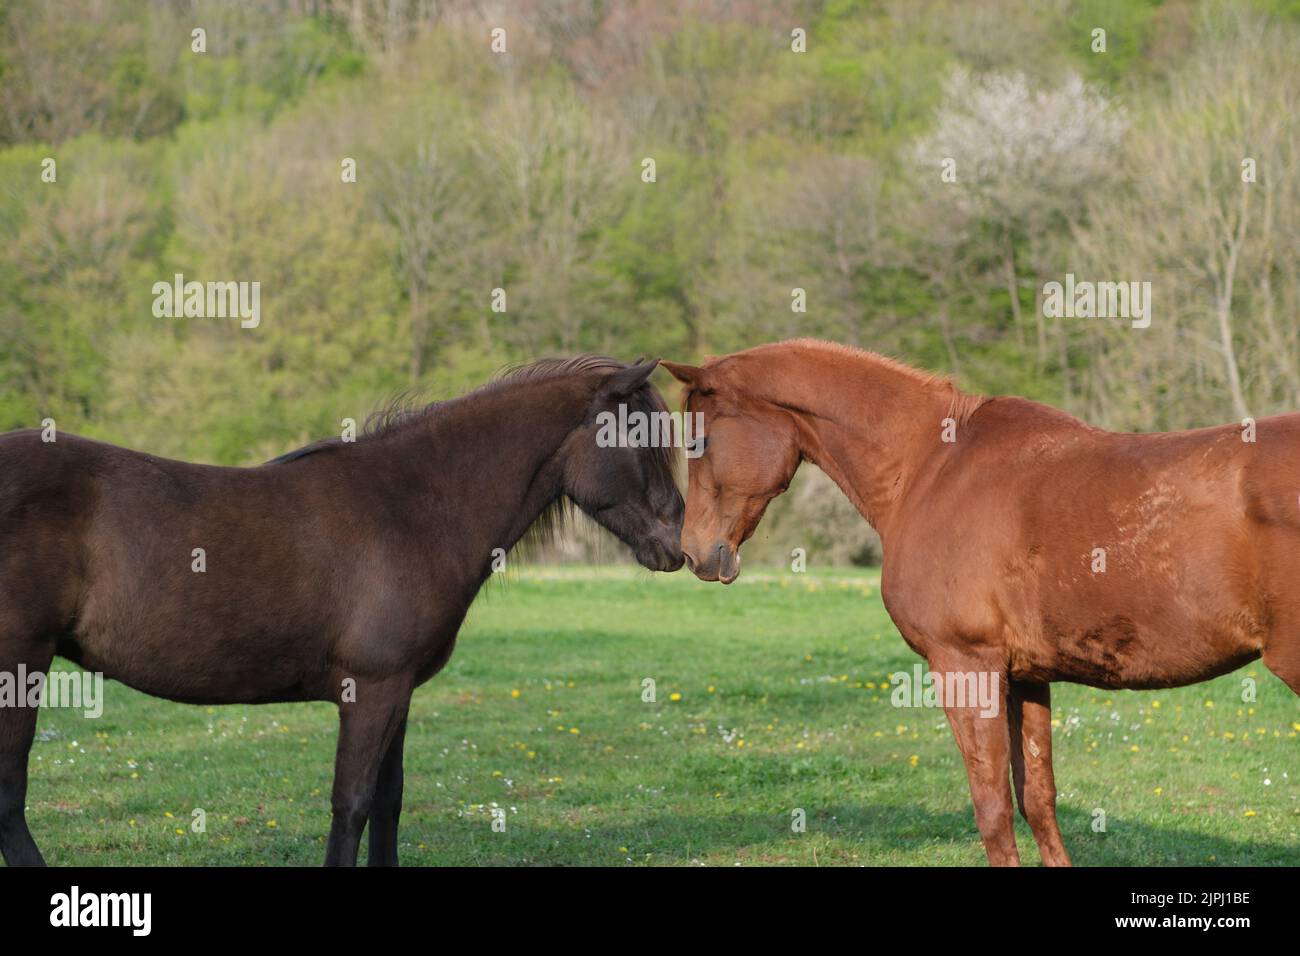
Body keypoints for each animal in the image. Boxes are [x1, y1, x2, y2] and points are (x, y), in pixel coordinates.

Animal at [0, 356, 684, 866]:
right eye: (637, 437)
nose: (680, 542)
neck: (412, 508)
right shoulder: (372, 688)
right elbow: (351, 804)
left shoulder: (399, 690)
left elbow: (388, 802)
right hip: (20, 666)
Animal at [663, 338, 1300, 866]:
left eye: (697, 439)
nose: (693, 552)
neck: (928, 466)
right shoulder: (1026, 677)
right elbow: (1037, 801)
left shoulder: (965, 666)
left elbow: (992, 809)